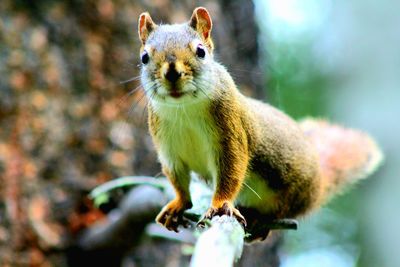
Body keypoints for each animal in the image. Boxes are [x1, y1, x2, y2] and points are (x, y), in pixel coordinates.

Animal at [138, 7, 384, 240]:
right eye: (144, 57)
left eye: (200, 51)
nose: (172, 72)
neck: (184, 108)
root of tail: (319, 179)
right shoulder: (168, 149)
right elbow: (177, 177)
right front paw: (178, 204)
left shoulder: (230, 131)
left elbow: (232, 170)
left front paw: (220, 204)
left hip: (292, 191)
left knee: (282, 208)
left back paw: (260, 218)